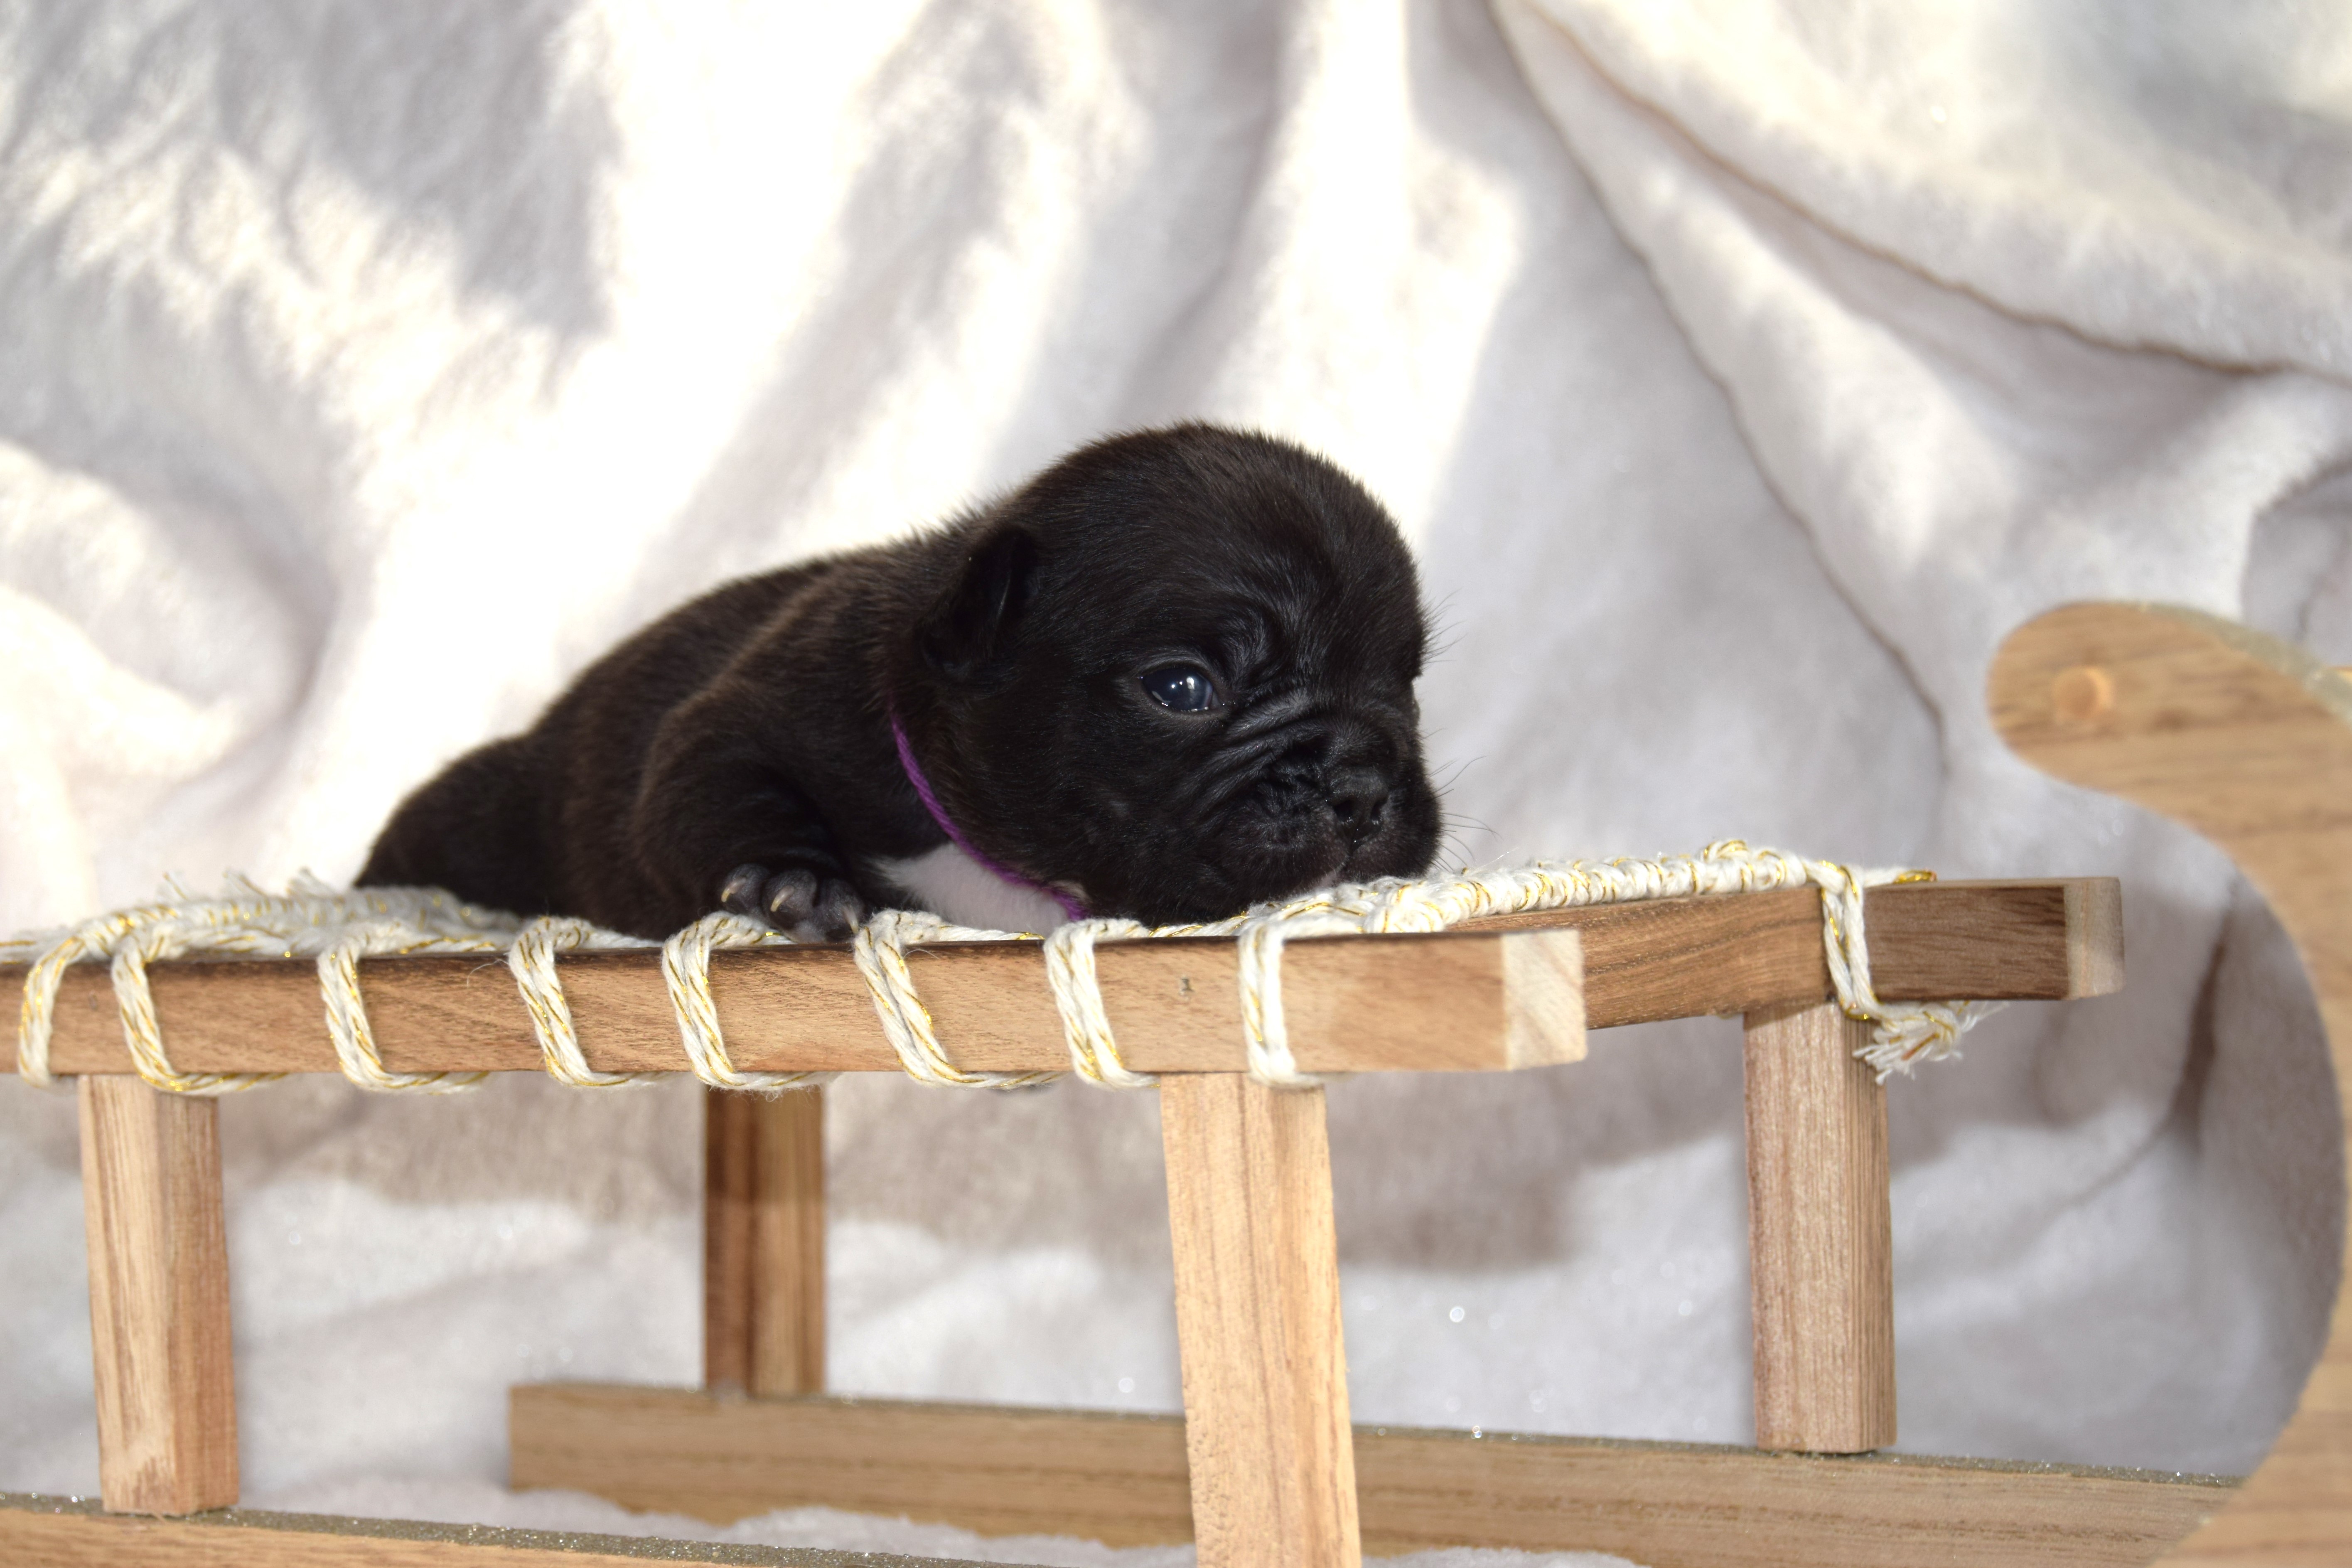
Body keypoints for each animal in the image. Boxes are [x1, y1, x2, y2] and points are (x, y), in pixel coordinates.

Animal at [357, 423, 1439, 940]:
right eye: (1182, 690)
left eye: (1406, 684)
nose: (1360, 783)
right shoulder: (751, 720)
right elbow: (719, 785)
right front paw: (793, 879)